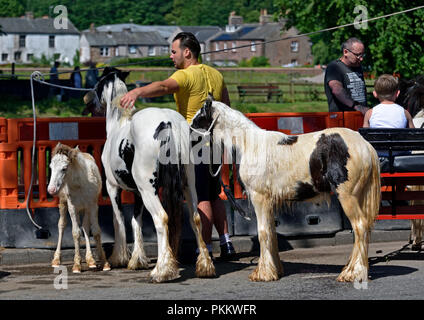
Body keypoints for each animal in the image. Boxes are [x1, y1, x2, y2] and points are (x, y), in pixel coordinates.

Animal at [192, 97, 380, 282]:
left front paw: (263, 274)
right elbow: (272, 234)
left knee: (360, 227)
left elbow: (263, 233)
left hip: (348, 196)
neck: (250, 145)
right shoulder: (269, 202)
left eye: (198, 117)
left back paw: (352, 273)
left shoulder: (259, 198)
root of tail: (365, 145)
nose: (189, 138)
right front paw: (274, 270)